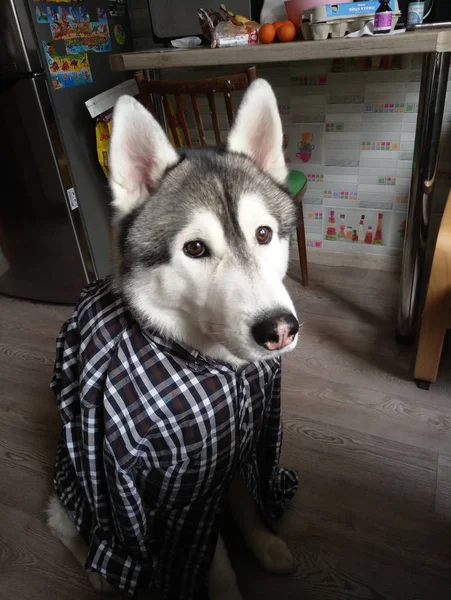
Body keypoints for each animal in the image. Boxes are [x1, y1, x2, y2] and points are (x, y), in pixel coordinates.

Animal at [46, 79, 300, 600]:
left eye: (264, 233)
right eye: (195, 248)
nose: (279, 329)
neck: (217, 371)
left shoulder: (234, 448)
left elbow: (245, 502)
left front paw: (265, 545)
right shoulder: (179, 486)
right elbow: (209, 556)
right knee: (66, 526)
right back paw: (100, 576)